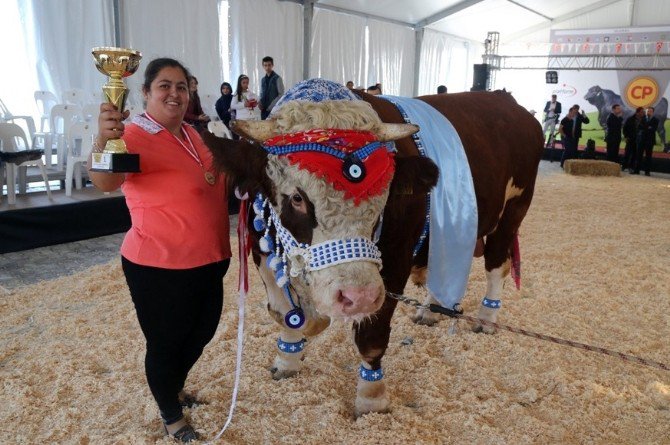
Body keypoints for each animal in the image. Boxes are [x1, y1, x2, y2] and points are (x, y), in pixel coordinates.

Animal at [203, 78, 544, 414]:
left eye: (384, 195)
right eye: (297, 198)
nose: (357, 296)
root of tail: (504, 98)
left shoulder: (394, 262)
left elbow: (372, 336)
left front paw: (371, 398)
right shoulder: (261, 250)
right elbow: (286, 313)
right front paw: (286, 361)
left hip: (514, 210)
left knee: (496, 265)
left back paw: (486, 319)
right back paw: (431, 310)